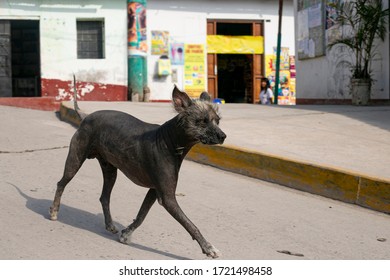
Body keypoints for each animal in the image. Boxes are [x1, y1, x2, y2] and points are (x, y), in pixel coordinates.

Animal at [49, 86, 225, 258]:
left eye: (217, 120)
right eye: (202, 121)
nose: (223, 136)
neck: (169, 141)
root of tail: (85, 116)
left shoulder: (154, 191)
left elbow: (141, 215)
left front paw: (126, 233)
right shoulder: (167, 198)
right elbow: (190, 224)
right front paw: (208, 247)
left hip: (110, 171)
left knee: (104, 197)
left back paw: (109, 225)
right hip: (75, 160)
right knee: (61, 183)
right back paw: (54, 211)